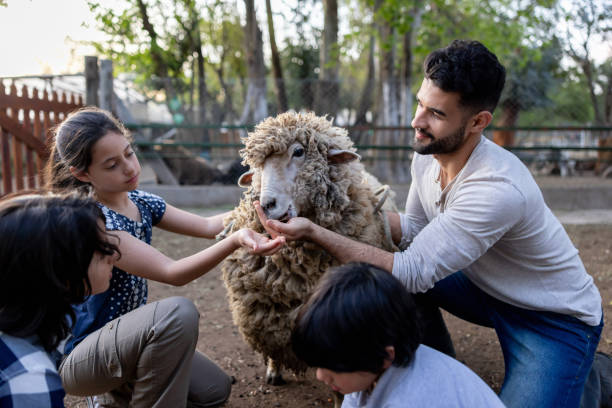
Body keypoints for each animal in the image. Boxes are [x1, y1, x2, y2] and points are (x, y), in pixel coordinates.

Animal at [219, 111, 396, 402]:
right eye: (257, 167)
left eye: (299, 151)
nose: (266, 206)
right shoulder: (269, 311)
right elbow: (274, 340)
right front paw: (274, 369)